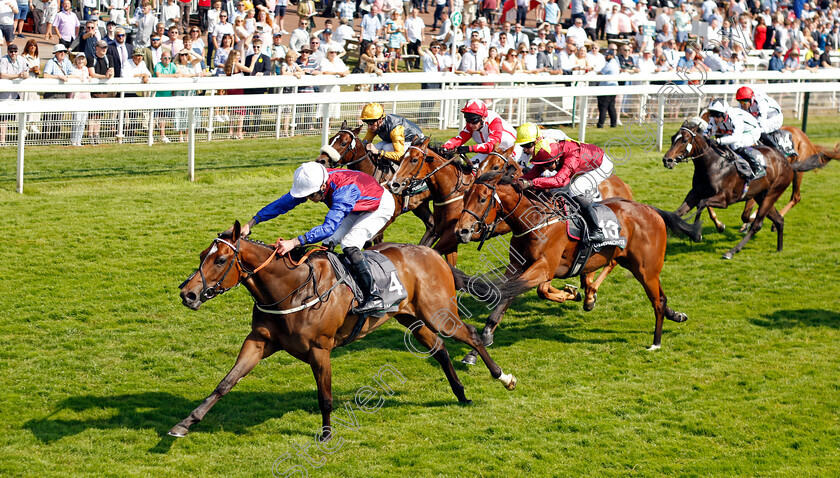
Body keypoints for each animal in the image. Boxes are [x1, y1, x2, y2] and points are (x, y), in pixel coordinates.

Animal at [171, 222, 520, 438]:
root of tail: (433, 253)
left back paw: (503, 377)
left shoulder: (320, 349)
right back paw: (460, 394)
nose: (188, 294)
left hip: (438, 312)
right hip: (411, 318)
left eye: (220, 260)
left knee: (470, 335)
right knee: (440, 350)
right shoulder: (258, 341)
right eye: (202, 256)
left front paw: (326, 435)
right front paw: (185, 423)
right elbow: (225, 383)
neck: (292, 287)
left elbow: (325, 396)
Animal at [452, 170, 696, 360]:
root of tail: (651, 209)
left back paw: (656, 342)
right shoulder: (517, 267)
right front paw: (478, 347)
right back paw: (674, 315)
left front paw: (573, 293)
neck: (535, 221)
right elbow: (507, 297)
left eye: (482, 199)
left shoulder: (543, 268)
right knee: (660, 297)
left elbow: (523, 291)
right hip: (636, 265)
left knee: (657, 302)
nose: (460, 231)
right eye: (465, 196)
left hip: (646, 269)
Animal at [664, 119, 828, 262]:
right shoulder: (695, 193)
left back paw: (731, 251)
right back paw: (779, 248)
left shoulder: (724, 199)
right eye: (672, 138)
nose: (667, 160)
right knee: (779, 220)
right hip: (762, 196)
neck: (713, 164)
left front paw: (697, 232)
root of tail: (786, 162)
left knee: (757, 225)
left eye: (685, 140)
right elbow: (678, 212)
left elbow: (702, 204)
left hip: (773, 193)